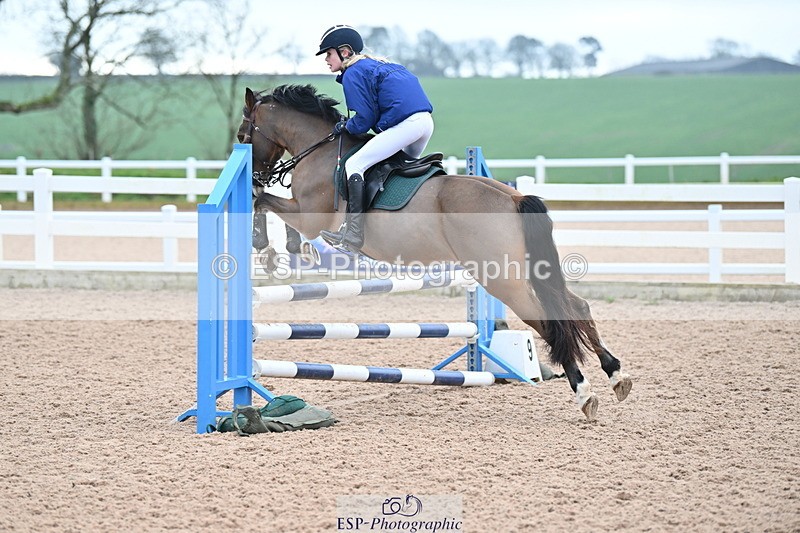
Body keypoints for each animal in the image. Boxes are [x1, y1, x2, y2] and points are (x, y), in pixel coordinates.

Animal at [238, 84, 632, 421]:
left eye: (244, 135)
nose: (255, 176)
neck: (319, 150)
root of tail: (513, 198)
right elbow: (267, 204)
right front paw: (286, 248)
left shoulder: (308, 215)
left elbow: (264, 203)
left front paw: (272, 247)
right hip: (525, 273)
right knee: (576, 307)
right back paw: (616, 376)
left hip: (503, 281)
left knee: (549, 322)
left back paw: (584, 394)